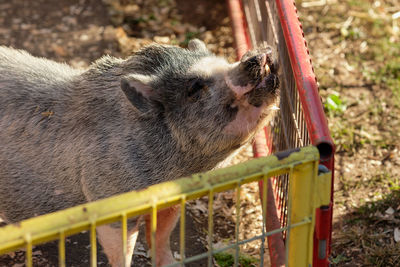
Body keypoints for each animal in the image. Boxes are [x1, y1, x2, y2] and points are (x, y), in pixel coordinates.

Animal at [0, 38, 280, 266]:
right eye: (194, 87)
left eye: (223, 61)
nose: (258, 55)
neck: (177, 172)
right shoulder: (108, 199)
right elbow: (123, 252)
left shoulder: (171, 200)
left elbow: (161, 236)